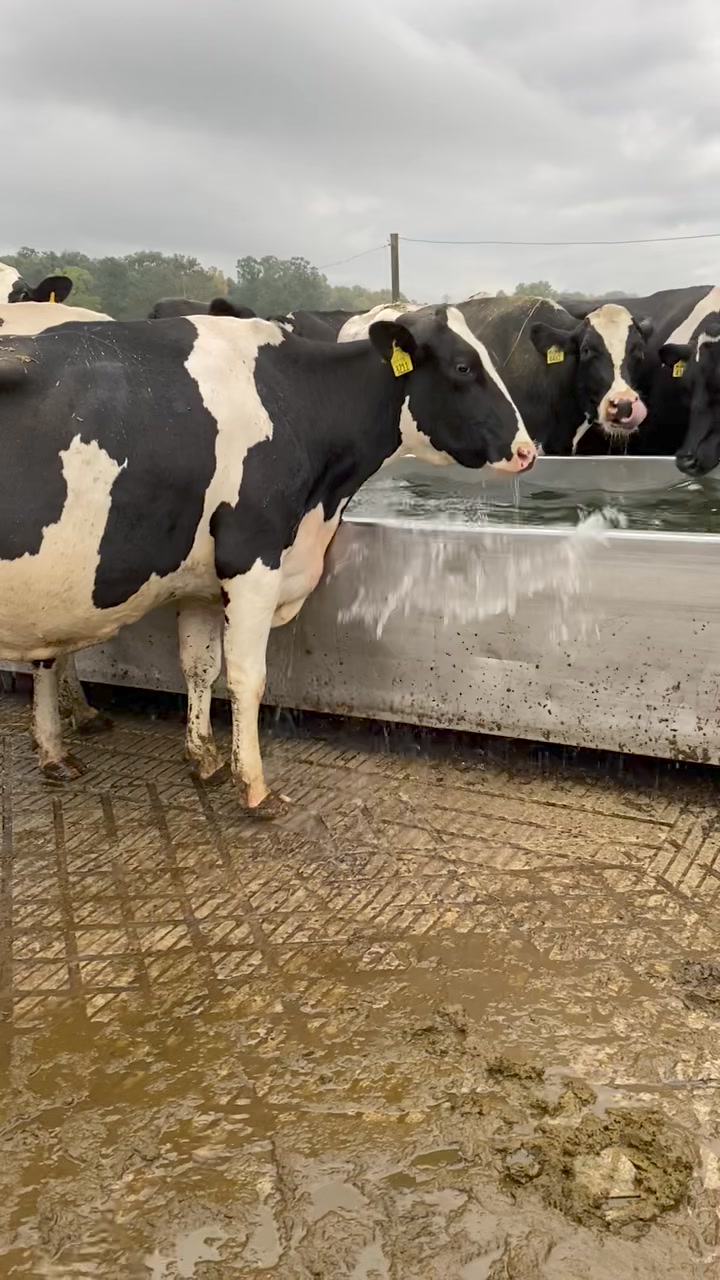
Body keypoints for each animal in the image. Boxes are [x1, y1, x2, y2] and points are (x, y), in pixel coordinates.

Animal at [0, 306, 535, 814]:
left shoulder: (200, 579)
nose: (527, 450)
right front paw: (254, 787)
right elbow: (246, 676)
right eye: (463, 366)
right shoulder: (251, 555)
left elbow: (199, 664)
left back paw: (57, 753)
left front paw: (205, 758)